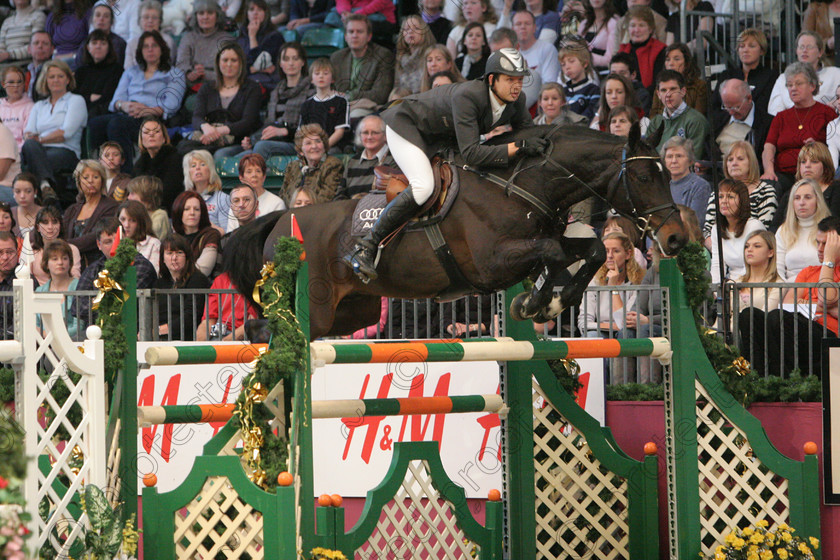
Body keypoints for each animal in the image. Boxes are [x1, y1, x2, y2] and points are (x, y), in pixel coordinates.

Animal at [226, 122, 684, 340]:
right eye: (644, 176)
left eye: (667, 172)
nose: (676, 238)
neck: (523, 183)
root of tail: (279, 221)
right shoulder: (492, 263)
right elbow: (553, 254)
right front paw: (535, 303)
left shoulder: (543, 243)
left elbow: (590, 251)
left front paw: (551, 303)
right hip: (315, 307)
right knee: (268, 330)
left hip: (352, 312)